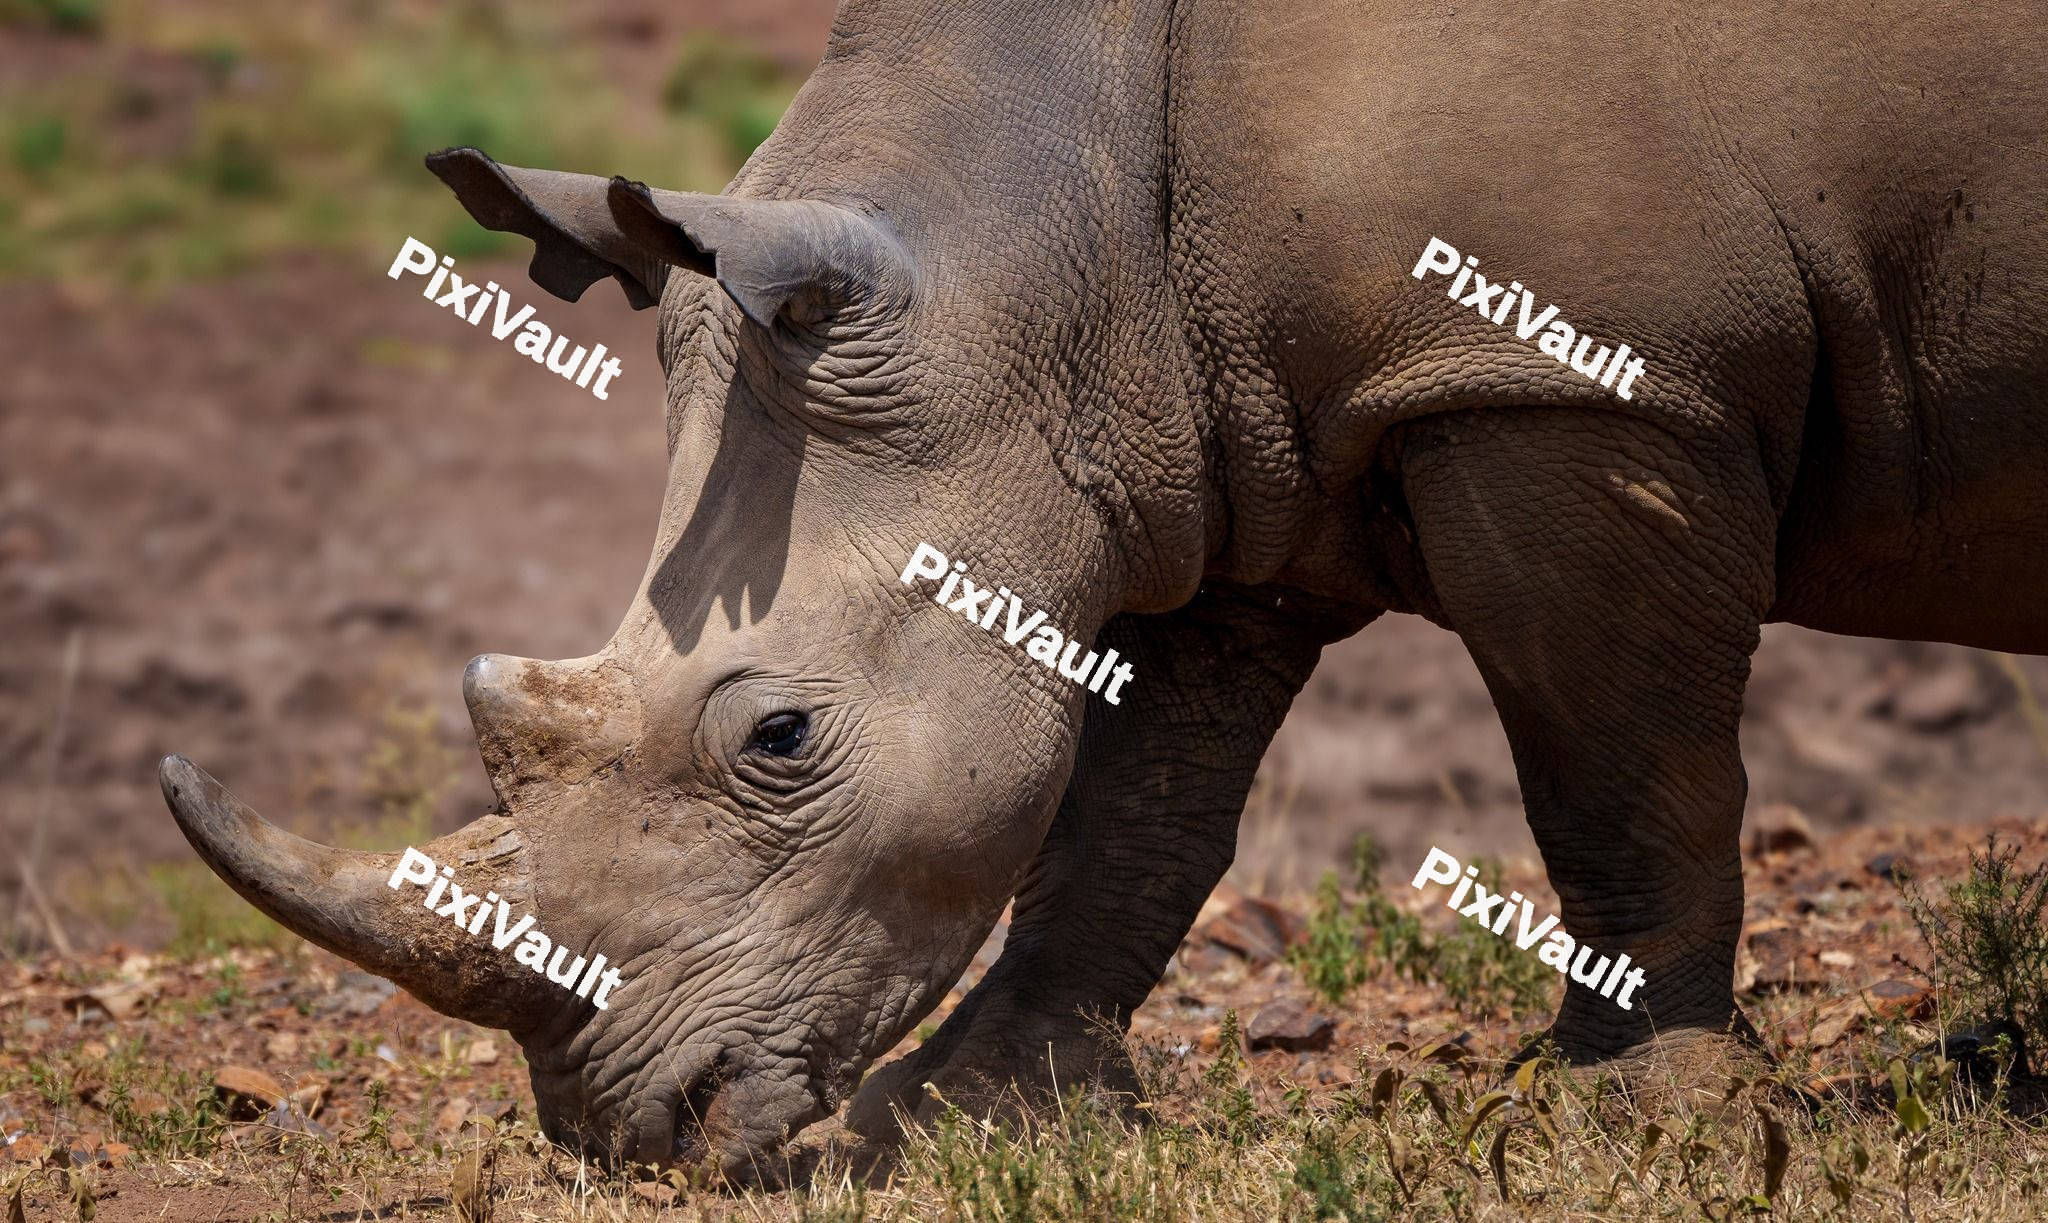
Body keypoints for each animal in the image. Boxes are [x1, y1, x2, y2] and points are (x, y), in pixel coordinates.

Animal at [162, 0, 2048, 1178]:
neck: (1036, 232)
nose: (633, 1130)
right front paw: (961, 1117)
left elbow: (1617, 765)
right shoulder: (1198, 434)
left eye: (778, 738)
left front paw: (1634, 1120)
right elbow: (1131, 808)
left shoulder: (1577, 377)